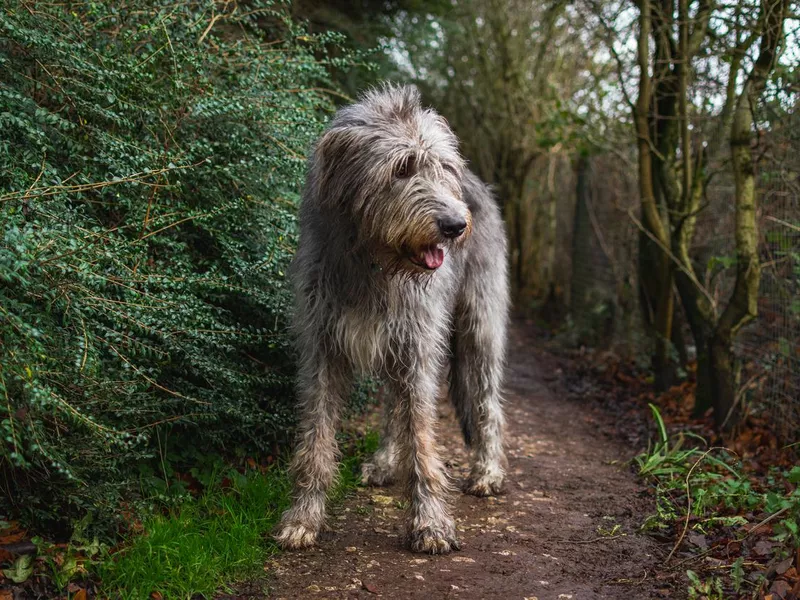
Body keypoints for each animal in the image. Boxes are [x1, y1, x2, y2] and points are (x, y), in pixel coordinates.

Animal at [276, 83, 510, 552]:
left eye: (442, 167)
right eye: (401, 169)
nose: (455, 225)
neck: (373, 264)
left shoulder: (418, 345)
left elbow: (421, 436)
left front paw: (431, 522)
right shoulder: (322, 348)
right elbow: (317, 436)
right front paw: (304, 516)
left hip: (480, 326)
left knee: (487, 401)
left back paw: (488, 471)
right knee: (391, 404)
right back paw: (386, 460)